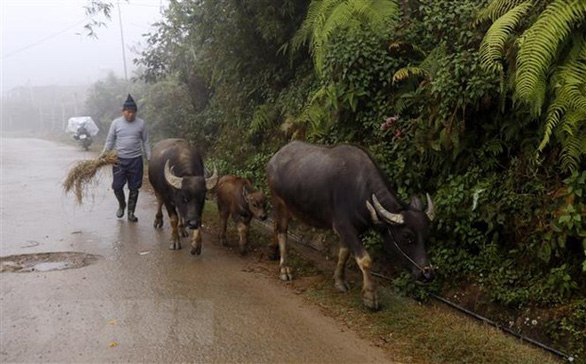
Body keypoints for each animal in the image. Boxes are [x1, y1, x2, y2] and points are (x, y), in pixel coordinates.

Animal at [266, 141, 434, 310]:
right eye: (407, 236)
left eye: (426, 236)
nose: (427, 274)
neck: (360, 190)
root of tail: (276, 157)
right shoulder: (344, 226)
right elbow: (365, 260)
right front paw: (370, 296)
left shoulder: (355, 230)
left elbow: (344, 253)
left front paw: (339, 281)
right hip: (278, 201)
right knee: (282, 231)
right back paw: (284, 269)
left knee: (275, 225)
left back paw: (273, 252)